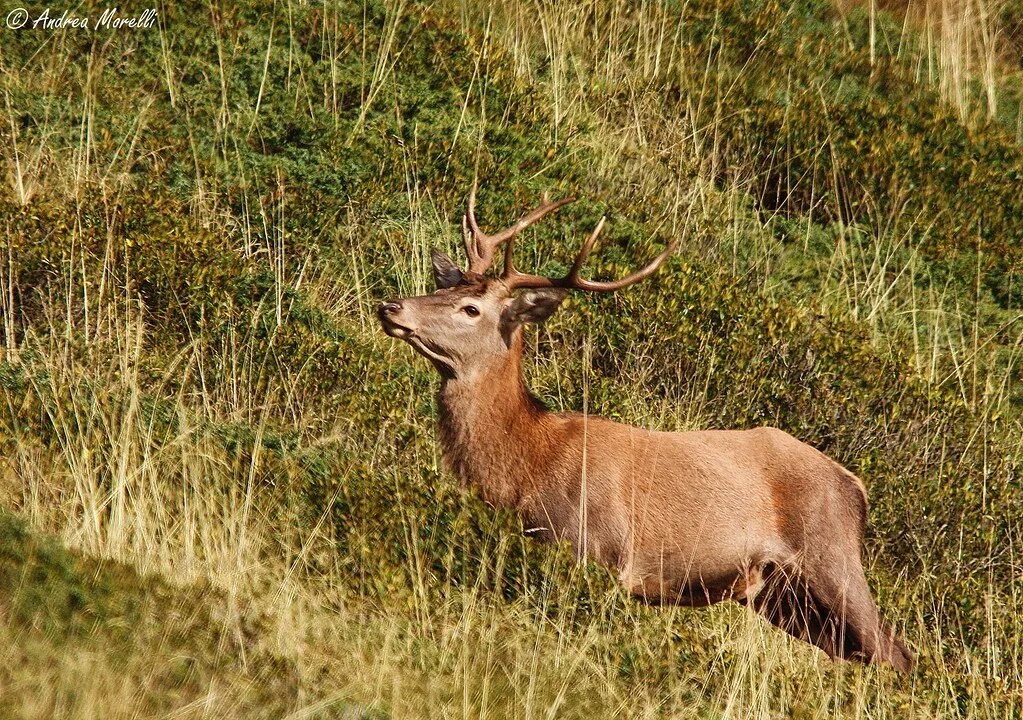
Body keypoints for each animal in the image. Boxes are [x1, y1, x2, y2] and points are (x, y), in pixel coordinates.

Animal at [380, 188, 916, 670]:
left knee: (896, 652)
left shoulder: (600, 551)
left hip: (831, 556)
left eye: (471, 309)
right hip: (782, 596)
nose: (391, 306)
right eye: (443, 288)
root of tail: (857, 487)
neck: (525, 466)